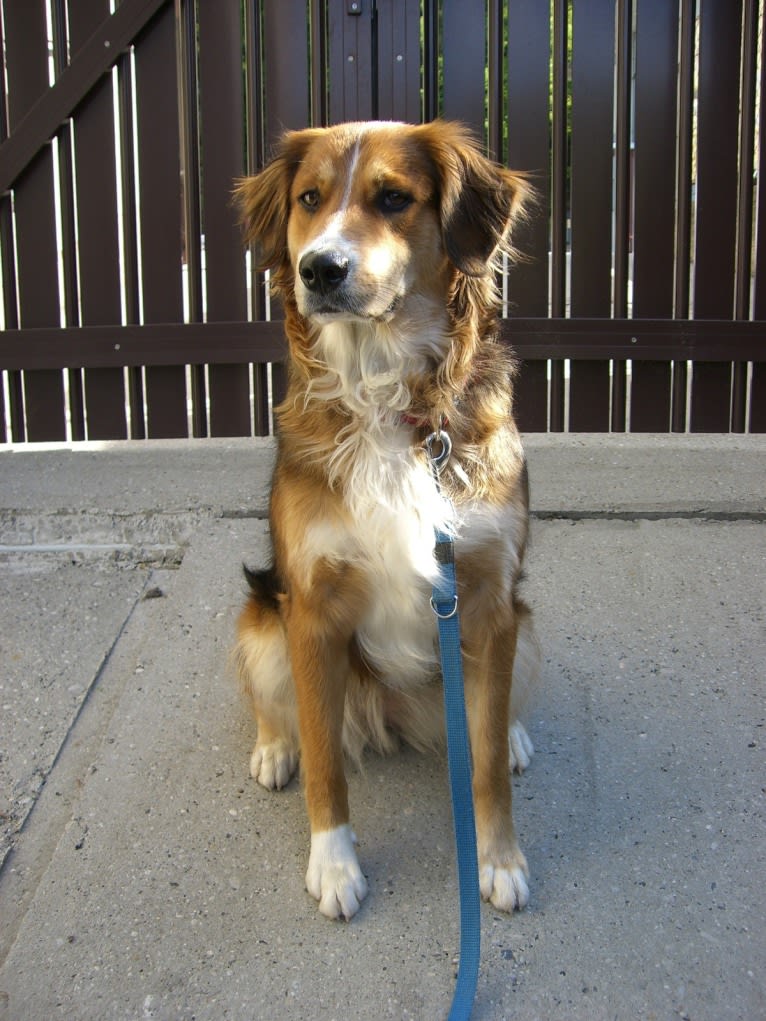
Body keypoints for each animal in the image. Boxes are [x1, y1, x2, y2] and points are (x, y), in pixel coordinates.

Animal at [233, 117, 539, 918]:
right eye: (309, 199)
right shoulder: (310, 608)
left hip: (523, 624)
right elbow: (325, 763)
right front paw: (335, 865)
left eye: (394, 198)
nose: (319, 269)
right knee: (276, 703)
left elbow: (481, 760)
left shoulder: (488, 598)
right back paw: (273, 746)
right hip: (261, 616)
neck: (390, 398)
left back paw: (515, 732)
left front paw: (498, 858)